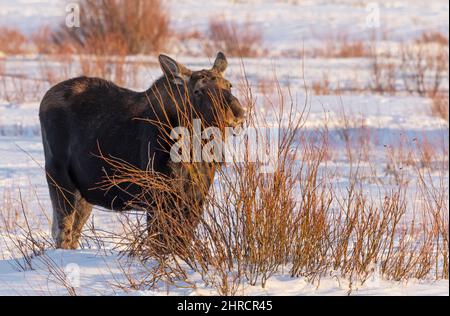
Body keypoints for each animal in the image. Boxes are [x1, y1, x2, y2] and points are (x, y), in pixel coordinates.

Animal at [39, 52, 246, 249]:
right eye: (198, 91)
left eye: (229, 85)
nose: (237, 112)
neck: (196, 147)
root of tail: (44, 99)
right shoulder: (158, 198)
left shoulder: (196, 198)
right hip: (58, 177)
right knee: (63, 233)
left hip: (84, 193)